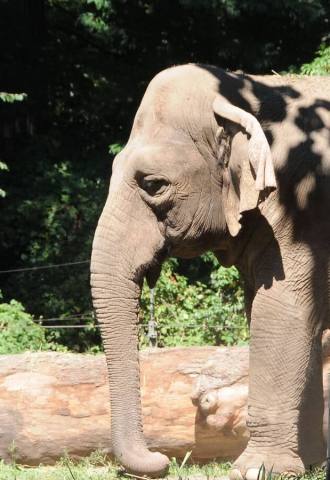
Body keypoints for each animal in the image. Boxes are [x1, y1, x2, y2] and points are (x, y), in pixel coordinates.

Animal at [90, 62, 330, 476]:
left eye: (153, 184)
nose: (162, 462)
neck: (246, 93)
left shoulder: (303, 207)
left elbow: (280, 311)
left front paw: (256, 471)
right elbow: (289, 314)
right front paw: (308, 466)